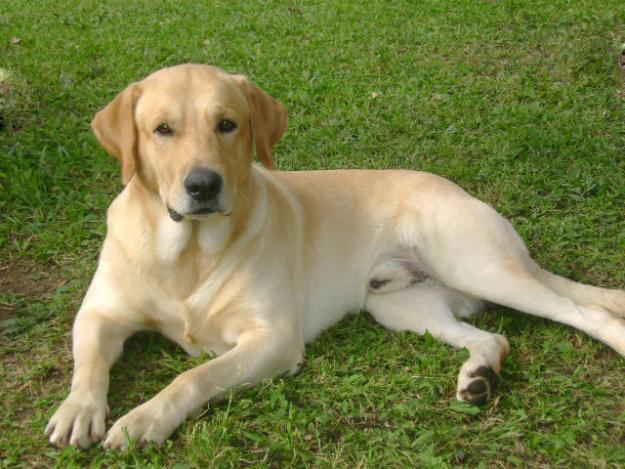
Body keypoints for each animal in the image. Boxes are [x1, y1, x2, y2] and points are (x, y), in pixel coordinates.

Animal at [45, 64, 624, 448]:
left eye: (228, 124)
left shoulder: (274, 338)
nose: (203, 185)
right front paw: (78, 409)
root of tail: (459, 191)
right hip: (398, 306)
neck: (188, 255)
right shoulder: (100, 314)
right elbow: (89, 360)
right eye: (161, 129)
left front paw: (144, 419)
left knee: (584, 312)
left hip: (477, 265)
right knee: (493, 337)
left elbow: (194, 377)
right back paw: (479, 374)